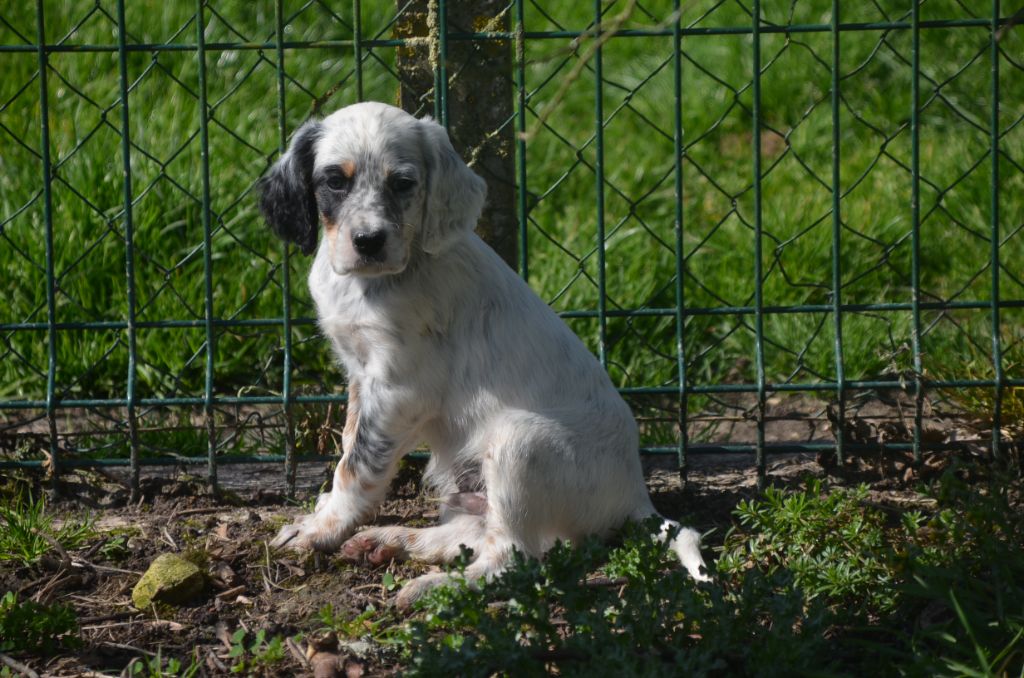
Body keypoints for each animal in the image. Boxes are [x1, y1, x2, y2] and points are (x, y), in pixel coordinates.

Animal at [259, 102, 708, 608]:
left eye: (403, 184)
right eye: (335, 181)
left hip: (518, 442)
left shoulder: (399, 390)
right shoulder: (359, 376)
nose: (369, 242)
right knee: (481, 536)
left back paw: (436, 590)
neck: (376, 282)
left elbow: (357, 465)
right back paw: (392, 541)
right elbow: (348, 443)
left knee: (512, 558)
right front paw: (328, 515)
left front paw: (322, 528)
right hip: (467, 482)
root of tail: (635, 496)